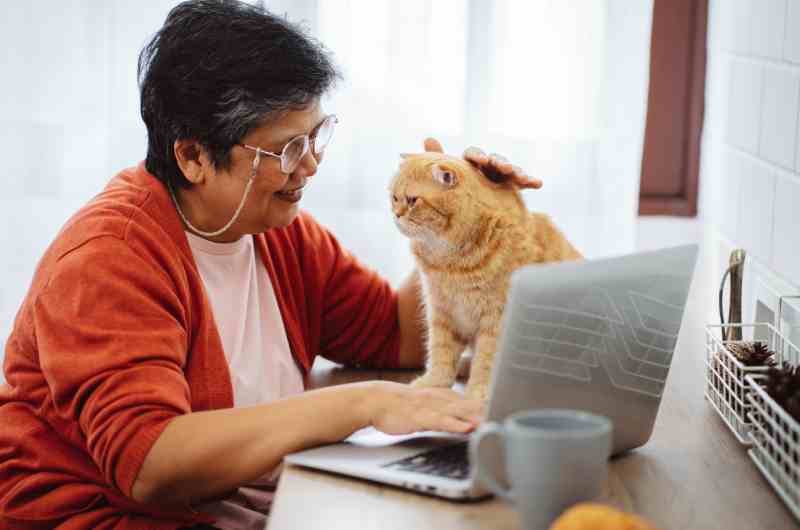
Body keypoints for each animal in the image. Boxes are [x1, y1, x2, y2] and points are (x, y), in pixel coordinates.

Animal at [390, 151, 580, 398]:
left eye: (412, 200)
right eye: (394, 198)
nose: (396, 215)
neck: (450, 263)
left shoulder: (496, 319)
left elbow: (486, 362)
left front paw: (479, 393)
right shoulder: (443, 313)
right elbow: (441, 354)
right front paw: (433, 384)